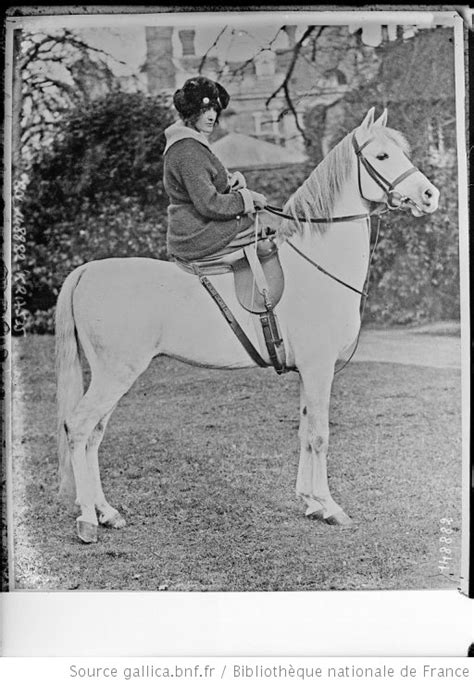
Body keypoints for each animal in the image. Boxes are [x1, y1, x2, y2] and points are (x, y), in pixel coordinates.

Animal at [54, 109, 436, 544]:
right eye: (383, 156)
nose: (430, 195)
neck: (319, 264)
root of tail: (87, 270)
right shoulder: (319, 369)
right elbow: (320, 435)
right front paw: (331, 507)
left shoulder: (307, 373)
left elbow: (305, 431)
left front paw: (311, 502)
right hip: (115, 374)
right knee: (79, 428)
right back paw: (87, 518)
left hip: (110, 376)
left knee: (94, 434)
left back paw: (106, 511)